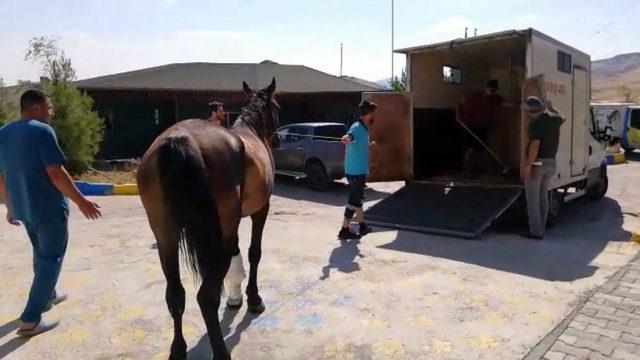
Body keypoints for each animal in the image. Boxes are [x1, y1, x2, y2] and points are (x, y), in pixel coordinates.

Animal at [136, 79, 278, 360]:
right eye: (277, 108)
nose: (277, 139)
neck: (250, 129)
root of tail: (177, 142)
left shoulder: (232, 225)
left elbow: (237, 255)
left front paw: (235, 299)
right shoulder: (260, 211)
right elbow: (254, 252)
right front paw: (253, 299)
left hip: (165, 236)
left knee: (175, 295)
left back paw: (178, 349)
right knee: (206, 296)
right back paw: (221, 351)